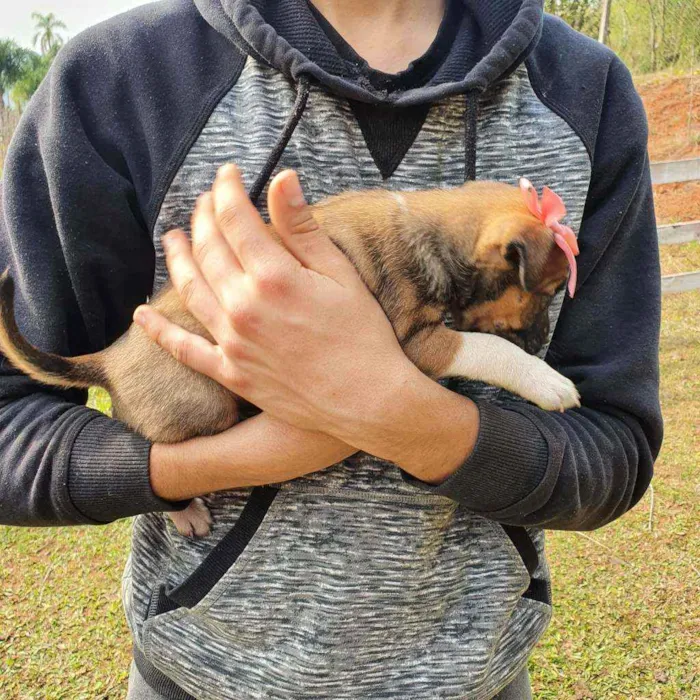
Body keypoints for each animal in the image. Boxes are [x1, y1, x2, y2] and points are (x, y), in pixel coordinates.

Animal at [0, 179, 580, 536]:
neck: (433, 231)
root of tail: (110, 358)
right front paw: (547, 379)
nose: (544, 341)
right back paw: (185, 511)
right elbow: (486, 347)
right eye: (548, 291)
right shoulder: (414, 343)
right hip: (200, 405)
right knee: (152, 446)